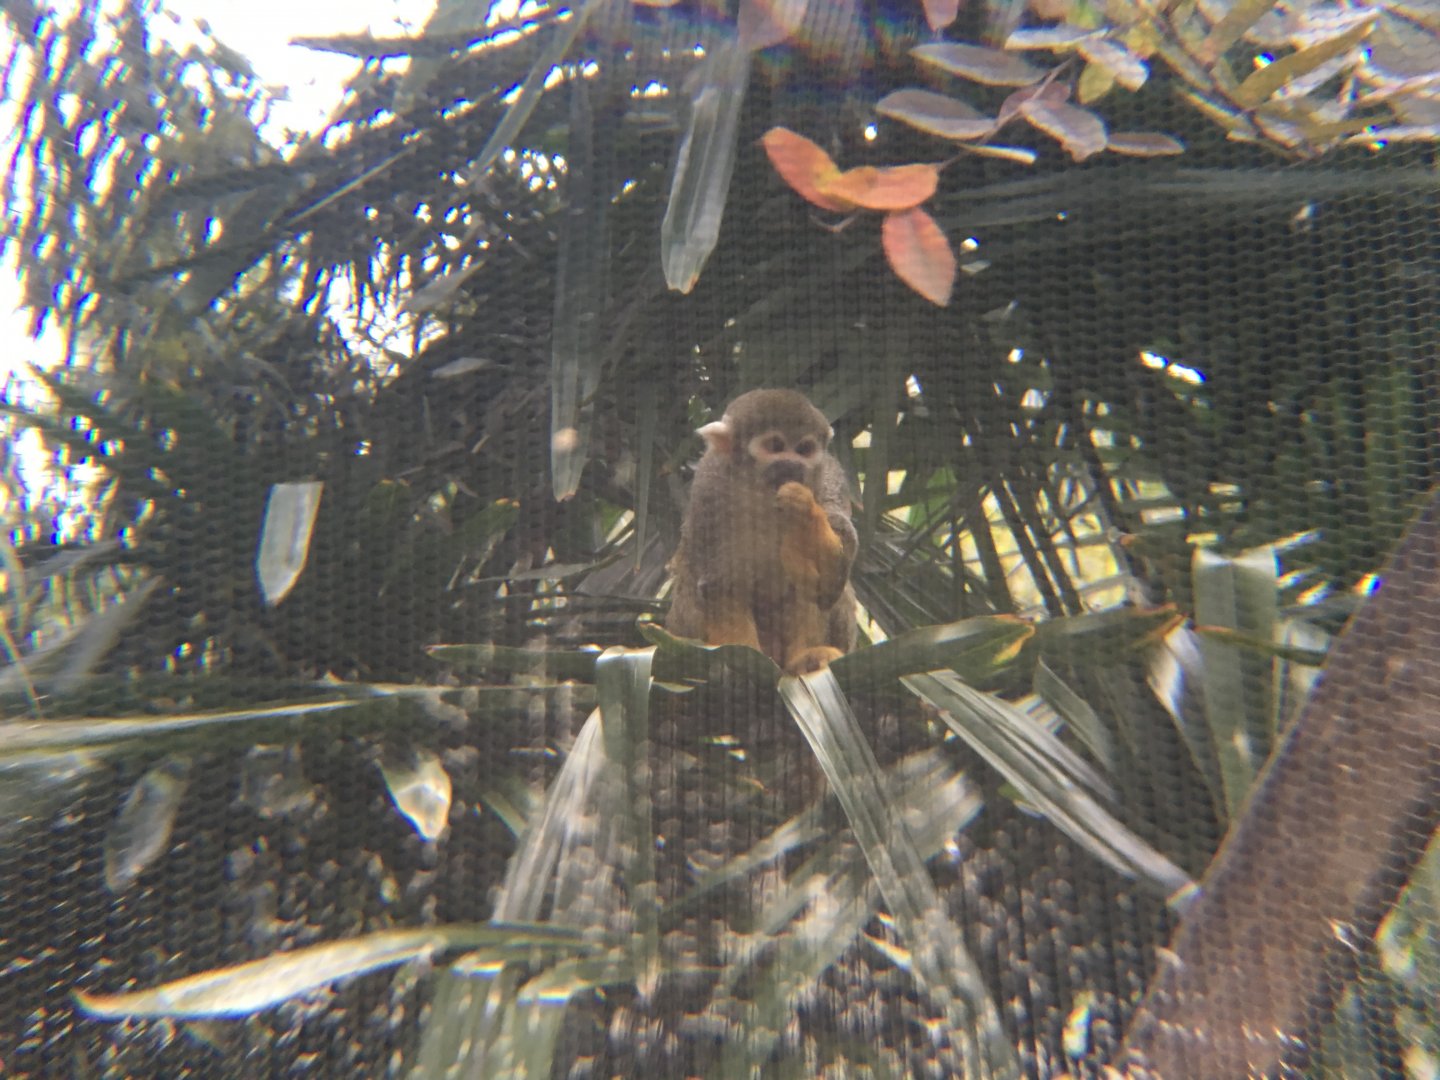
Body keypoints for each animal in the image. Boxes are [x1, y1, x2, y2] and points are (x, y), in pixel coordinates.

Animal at [667, 389, 858, 675]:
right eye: (775, 446)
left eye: (804, 449)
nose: (792, 464)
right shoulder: (708, 491)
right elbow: (720, 584)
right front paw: (747, 662)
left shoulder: (829, 477)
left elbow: (828, 585)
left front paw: (802, 510)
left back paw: (804, 659)